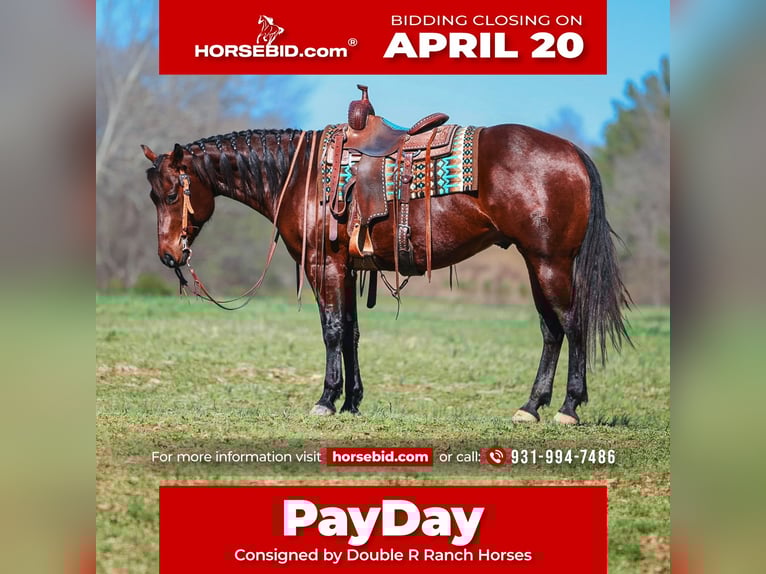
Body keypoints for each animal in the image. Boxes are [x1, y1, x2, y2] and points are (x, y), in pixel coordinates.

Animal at [141, 117, 630, 425]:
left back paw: (568, 407)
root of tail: (572, 152)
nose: (167, 255)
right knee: (552, 330)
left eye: (171, 195)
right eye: (153, 197)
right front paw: (351, 402)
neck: (299, 175)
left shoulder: (323, 265)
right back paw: (530, 407)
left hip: (550, 263)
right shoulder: (347, 267)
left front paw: (326, 400)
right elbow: (352, 333)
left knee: (573, 325)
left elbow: (333, 331)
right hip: (536, 264)